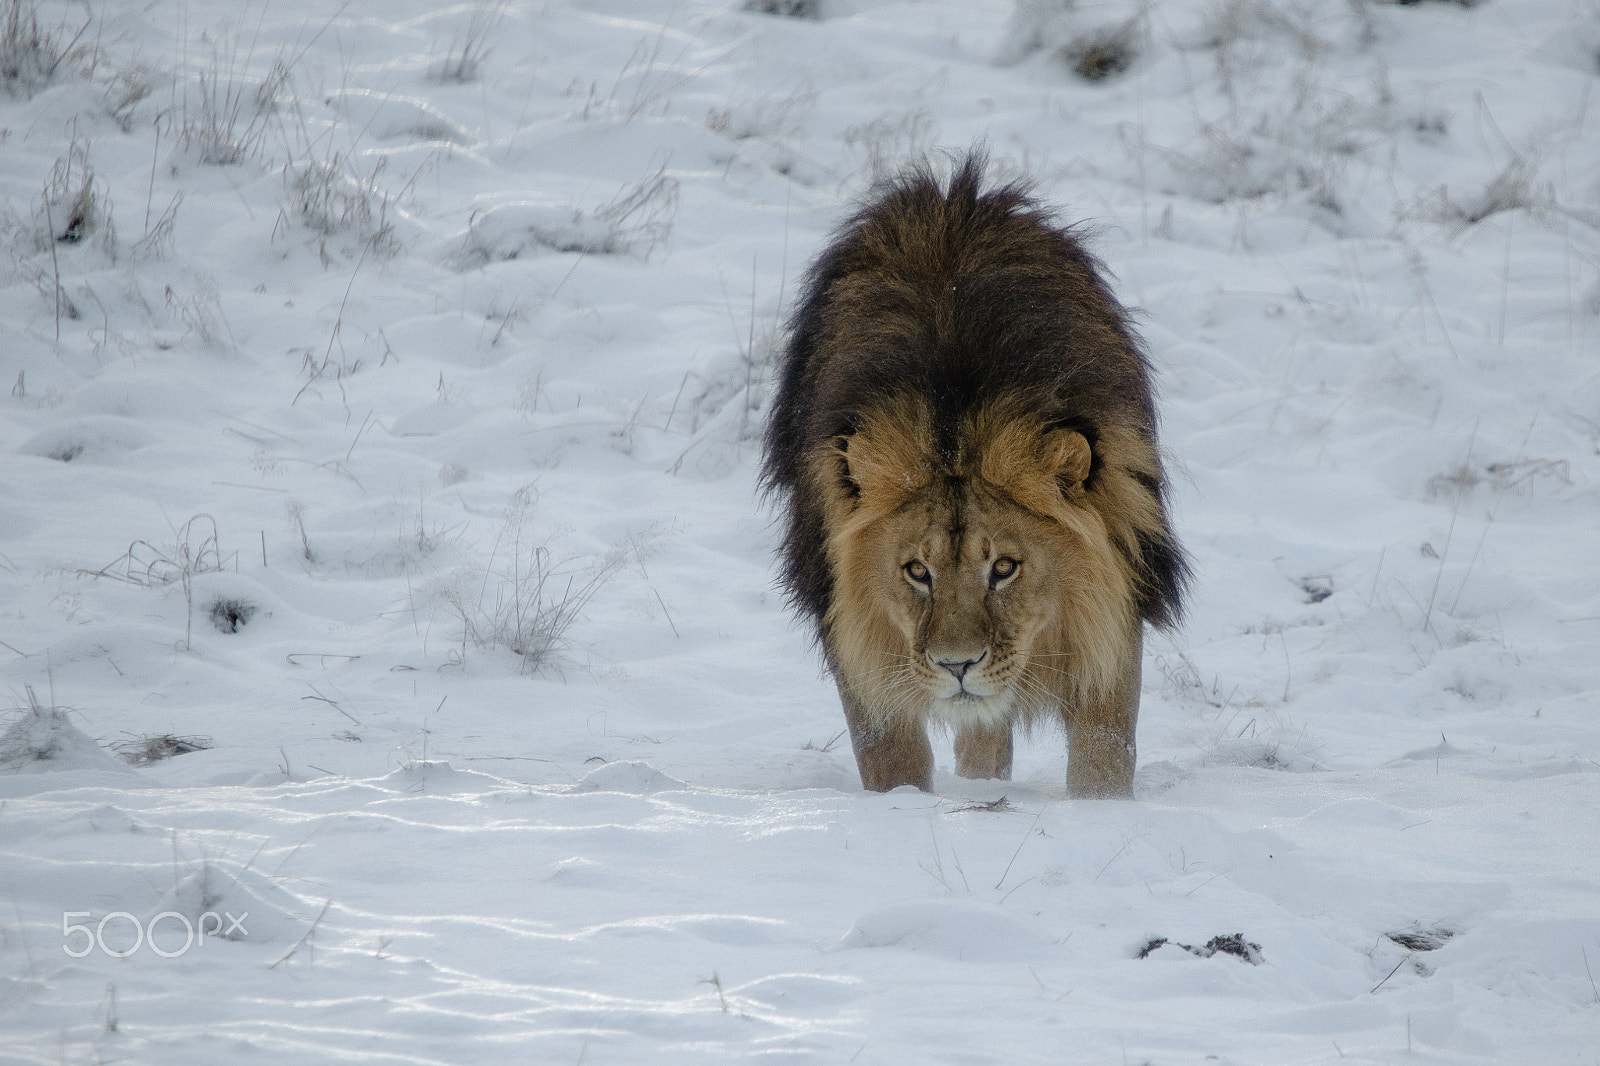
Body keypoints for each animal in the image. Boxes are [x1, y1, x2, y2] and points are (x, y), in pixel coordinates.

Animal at [762, 153, 1189, 797]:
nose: (956, 666)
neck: (955, 425)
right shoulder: (855, 631)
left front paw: (1101, 812)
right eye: (917, 571)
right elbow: (889, 755)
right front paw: (903, 806)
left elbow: (1105, 749)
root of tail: (951, 195)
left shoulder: (1113, 601)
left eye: (1005, 568)